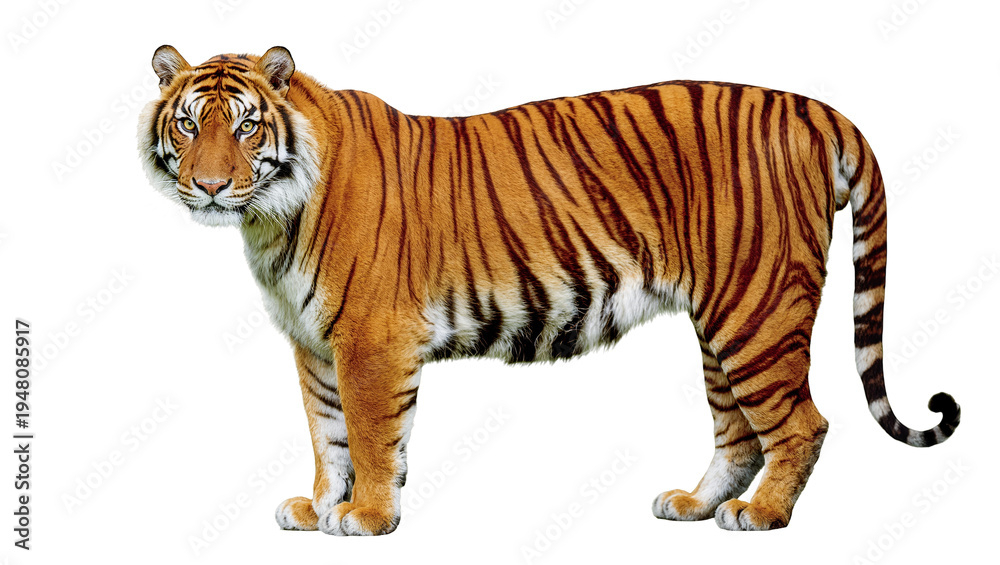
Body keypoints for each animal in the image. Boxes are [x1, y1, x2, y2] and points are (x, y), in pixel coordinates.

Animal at [138, 45, 960, 535]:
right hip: (725, 319)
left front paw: (367, 517)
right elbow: (328, 434)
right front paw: (318, 507)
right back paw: (695, 505)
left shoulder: (370, 340)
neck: (269, 220)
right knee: (738, 429)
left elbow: (370, 437)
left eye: (246, 128)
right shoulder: (314, 346)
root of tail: (813, 107)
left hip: (757, 309)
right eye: (189, 126)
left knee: (800, 424)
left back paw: (759, 516)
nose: (209, 186)